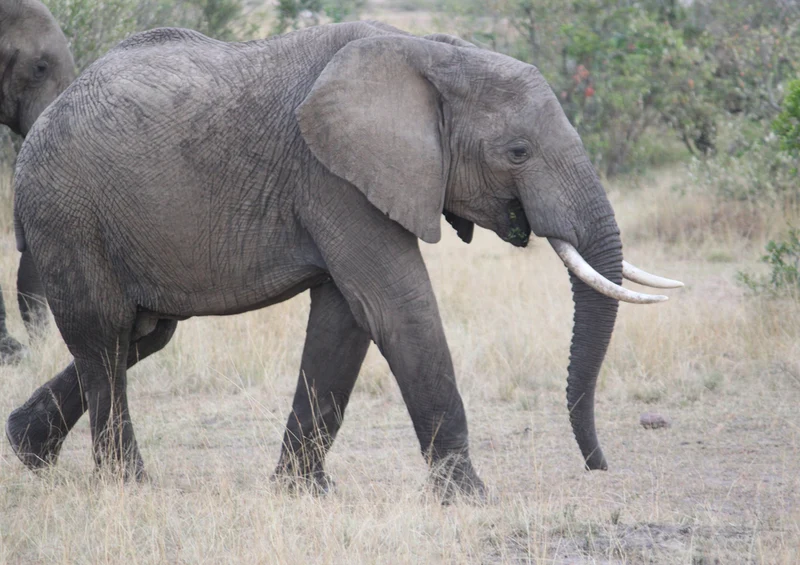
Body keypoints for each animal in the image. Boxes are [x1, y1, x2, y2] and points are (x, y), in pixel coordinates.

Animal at [5, 21, 682, 498]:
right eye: (517, 152)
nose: (598, 466)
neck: (430, 54)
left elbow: (345, 322)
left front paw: (303, 493)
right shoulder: (332, 176)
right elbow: (397, 304)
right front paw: (470, 498)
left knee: (142, 335)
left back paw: (27, 452)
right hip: (66, 213)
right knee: (105, 338)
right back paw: (128, 485)